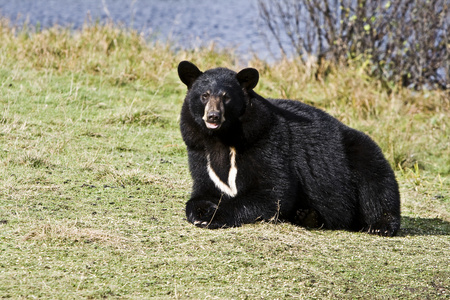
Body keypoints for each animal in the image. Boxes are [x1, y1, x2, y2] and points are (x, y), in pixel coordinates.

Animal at [176, 59, 400, 236]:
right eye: (204, 95)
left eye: (226, 97)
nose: (213, 116)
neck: (223, 137)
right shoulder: (199, 152)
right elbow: (202, 189)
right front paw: (200, 212)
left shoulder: (266, 143)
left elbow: (274, 192)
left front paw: (213, 216)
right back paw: (307, 215)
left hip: (360, 151)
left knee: (377, 183)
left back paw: (380, 226)